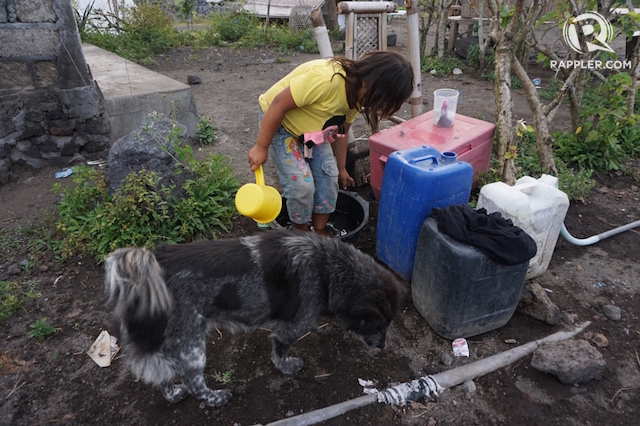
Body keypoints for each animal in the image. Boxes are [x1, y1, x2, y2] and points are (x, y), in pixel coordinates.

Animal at [105, 230, 404, 406]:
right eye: (378, 325)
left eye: (389, 325)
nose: (384, 346)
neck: (327, 269)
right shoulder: (290, 329)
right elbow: (281, 354)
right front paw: (288, 367)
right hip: (192, 346)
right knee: (192, 380)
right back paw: (215, 398)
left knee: (164, 376)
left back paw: (173, 395)